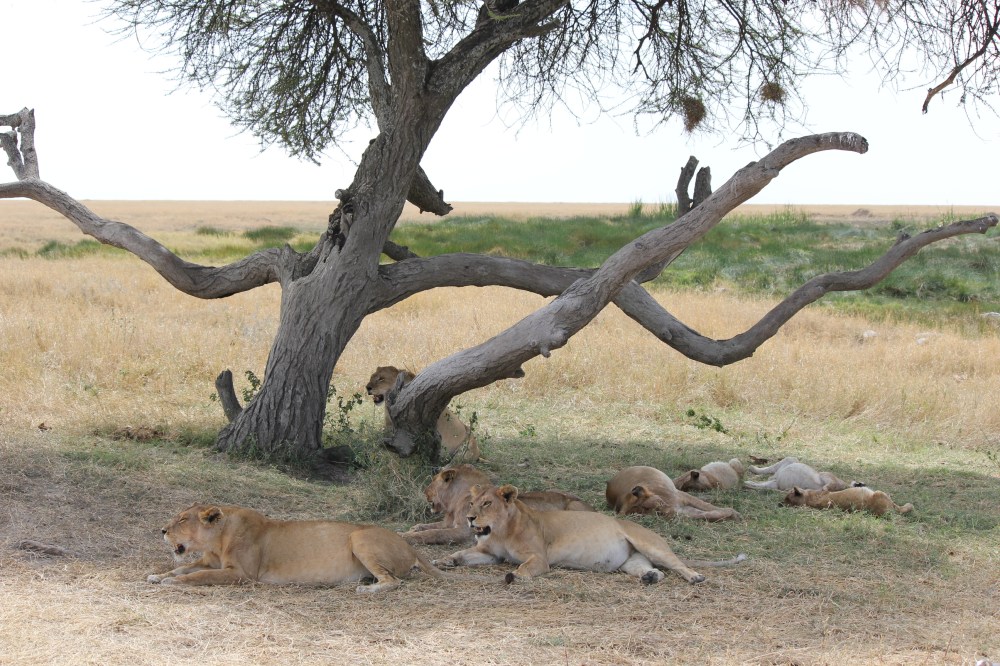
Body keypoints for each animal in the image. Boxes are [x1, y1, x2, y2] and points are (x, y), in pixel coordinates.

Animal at [147, 503, 449, 593]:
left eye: (182, 520)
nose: (162, 531)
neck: (217, 541)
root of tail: (410, 545)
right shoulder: (209, 560)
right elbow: (184, 567)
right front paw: (158, 576)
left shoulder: (241, 574)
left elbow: (198, 575)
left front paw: (173, 583)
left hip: (359, 538)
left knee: (394, 581)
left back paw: (367, 589)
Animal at [402, 464, 595, 545]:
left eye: (432, 481)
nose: (424, 491)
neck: (456, 501)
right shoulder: (449, 523)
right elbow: (429, 526)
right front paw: (412, 529)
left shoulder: (465, 530)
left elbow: (433, 533)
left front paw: (407, 537)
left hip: (574, 507)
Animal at [435, 484, 747, 585]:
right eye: (472, 503)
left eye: (487, 504)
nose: (470, 518)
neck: (500, 531)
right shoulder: (491, 555)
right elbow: (462, 553)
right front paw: (444, 561)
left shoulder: (539, 558)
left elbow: (524, 568)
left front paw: (515, 576)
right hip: (631, 560)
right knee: (653, 569)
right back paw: (649, 577)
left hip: (649, 543)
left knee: (678, 564)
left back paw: (695, 577)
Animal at [605, 466, 740, 521]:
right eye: (656, 513)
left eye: (657, 505)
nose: (667, 512)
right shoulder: (682, 510)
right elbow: (705, 514)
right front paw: (730, 514)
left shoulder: (681, 496)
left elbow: (706, 506)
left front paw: (733, 512)